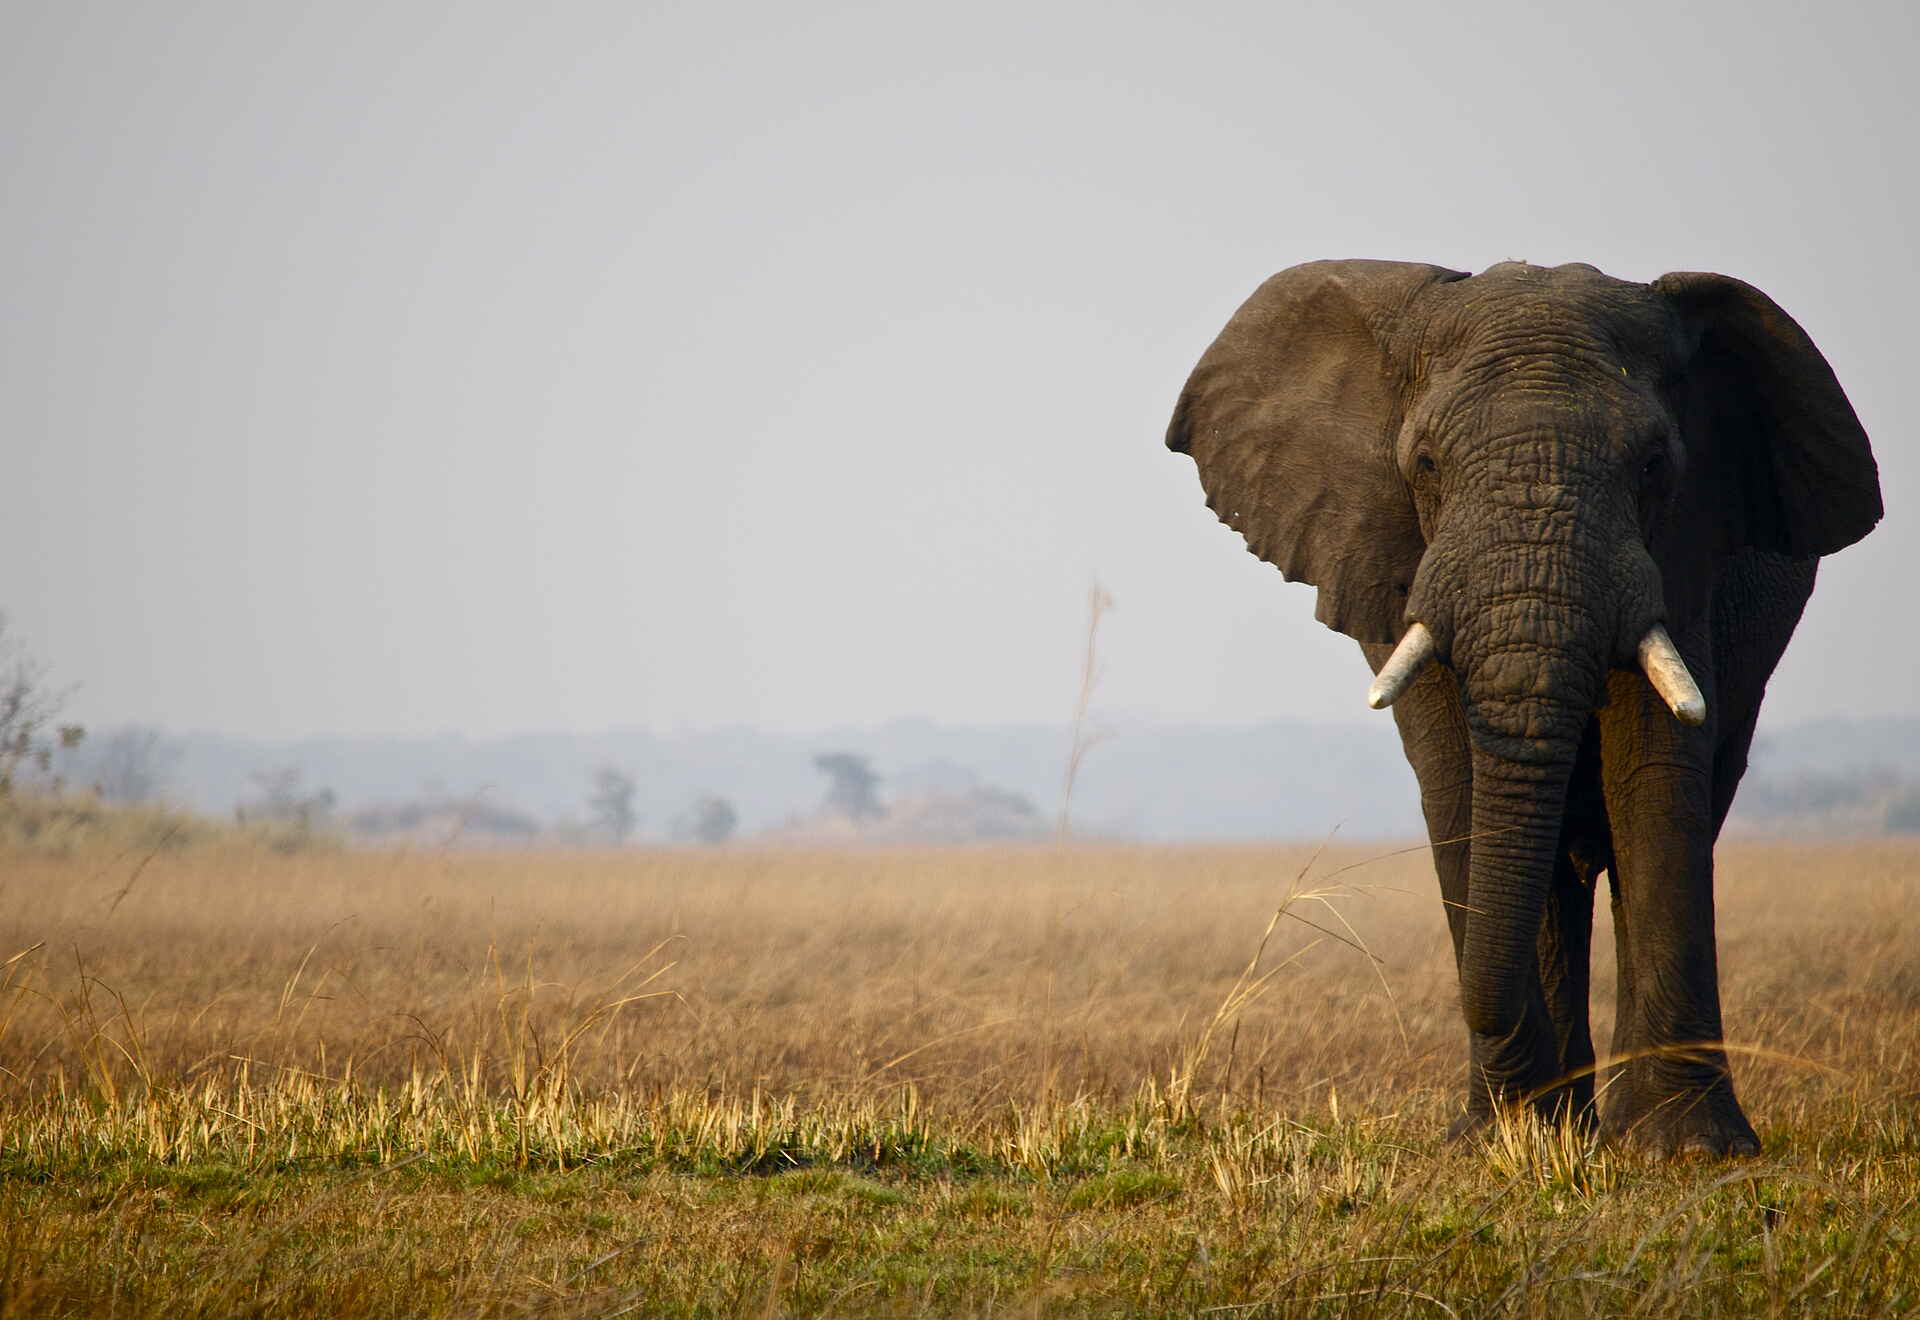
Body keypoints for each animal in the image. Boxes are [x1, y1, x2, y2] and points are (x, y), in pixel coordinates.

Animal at [1165, 259, 1881, 1156]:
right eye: (1425, 464)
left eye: (1654, 465)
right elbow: (1460, 785)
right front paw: (1503, 1139)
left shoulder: (1687, 553)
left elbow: (1655, 774)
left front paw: (1687, 1150)